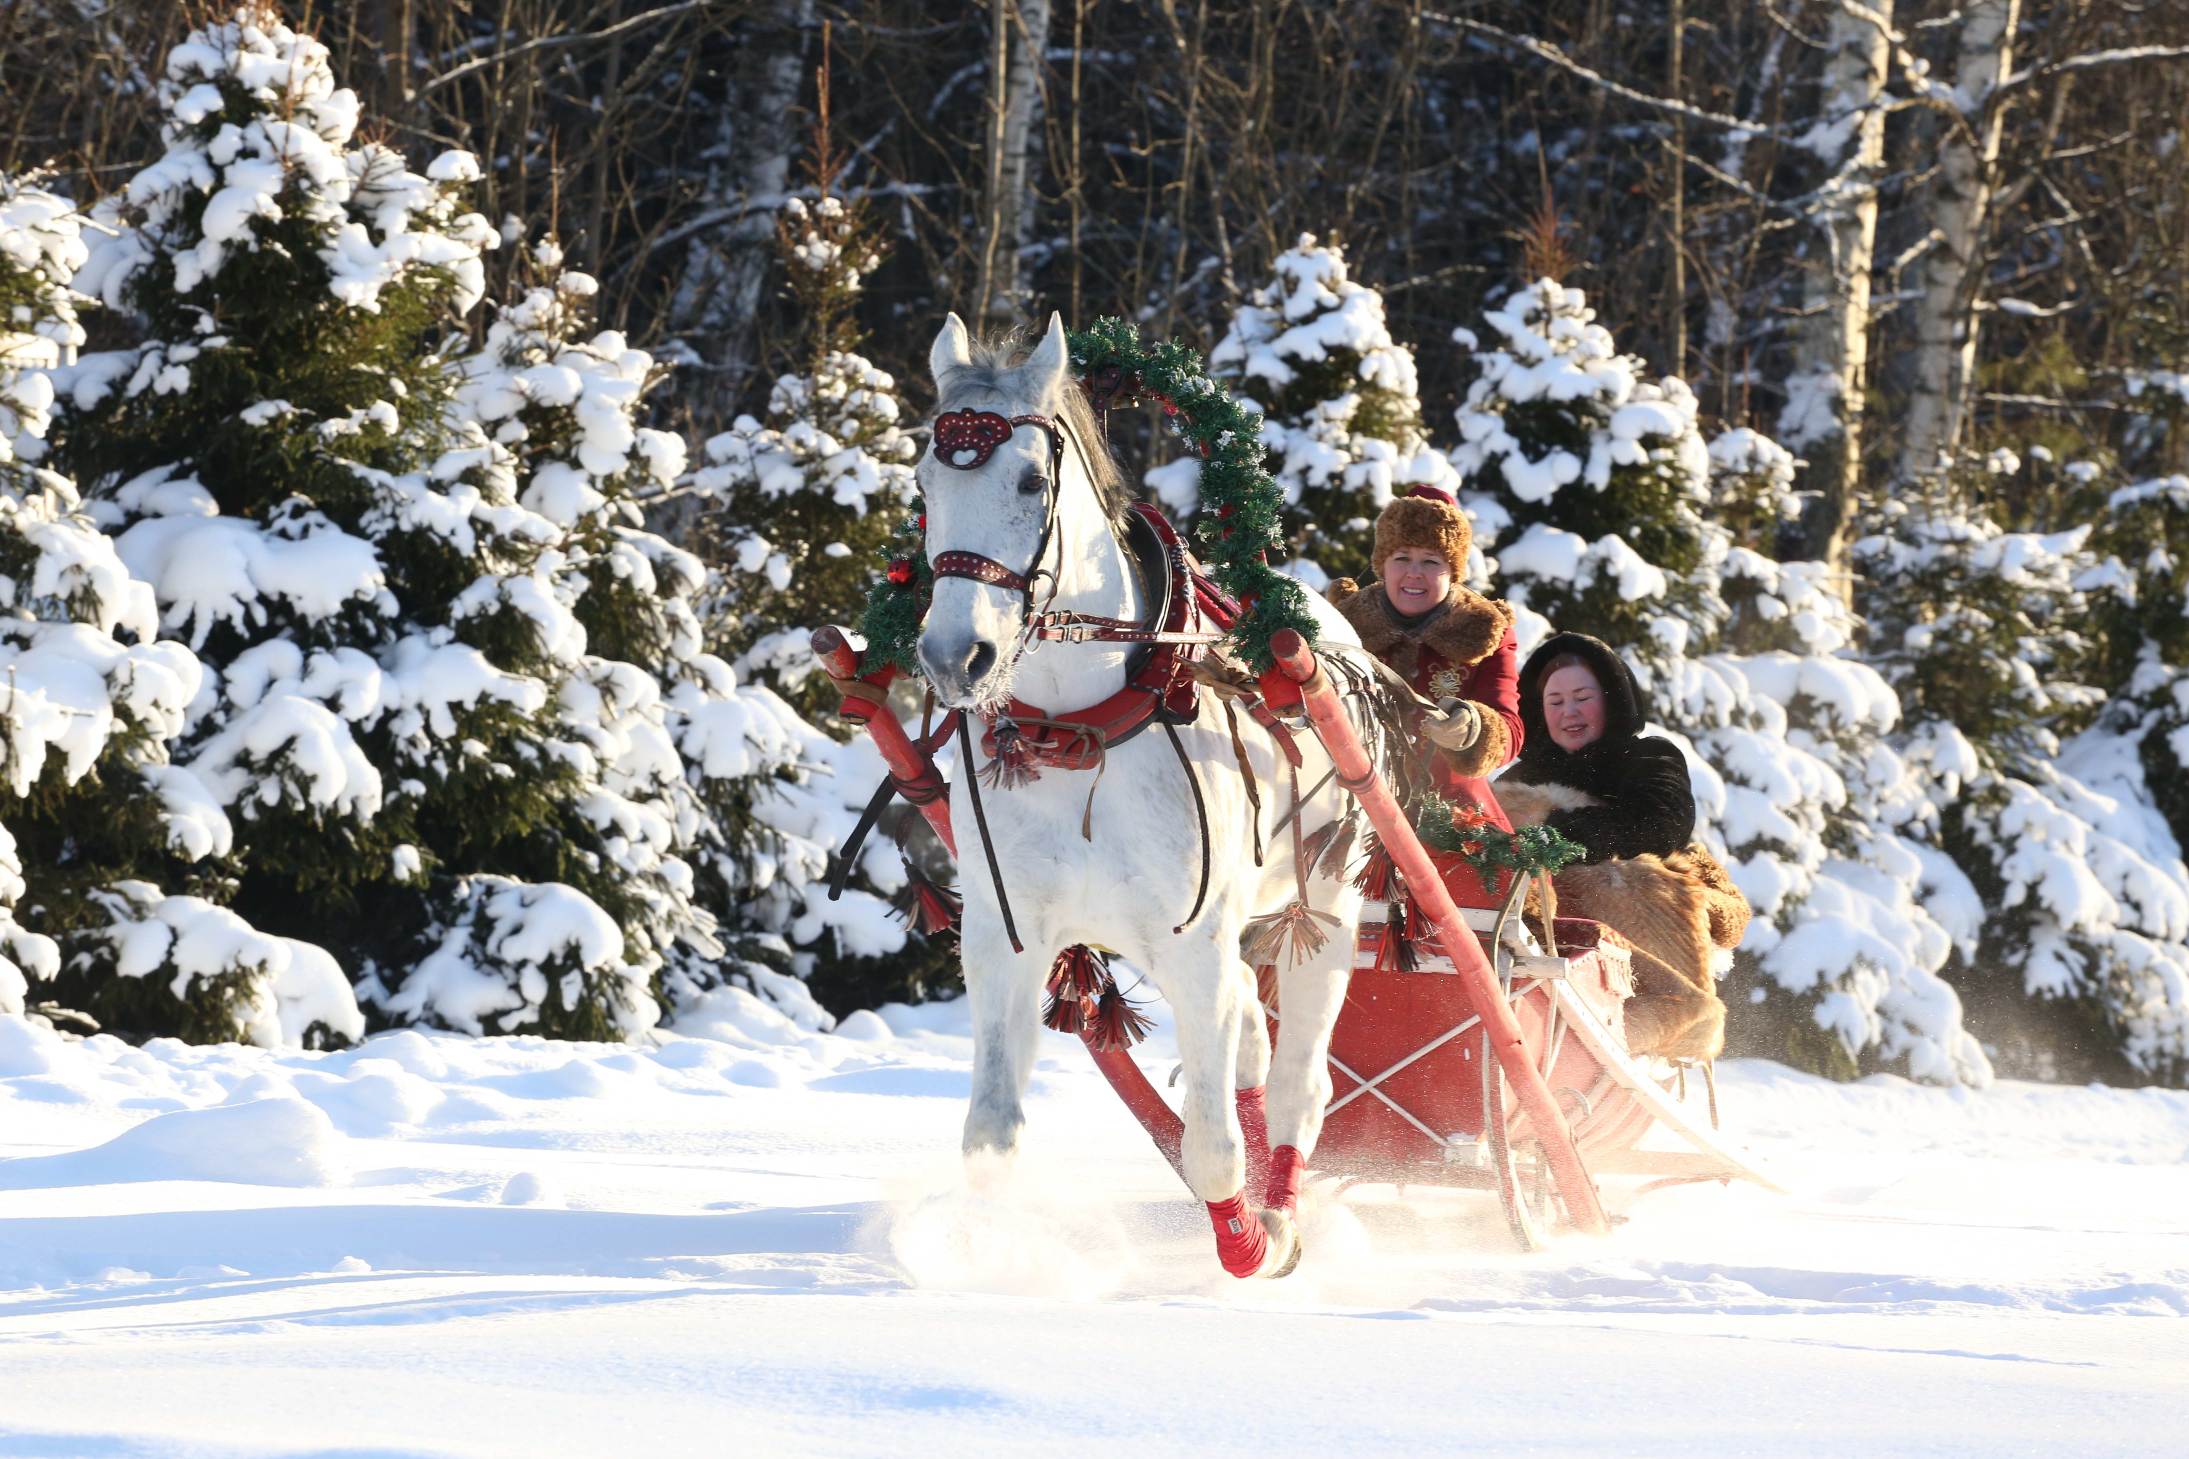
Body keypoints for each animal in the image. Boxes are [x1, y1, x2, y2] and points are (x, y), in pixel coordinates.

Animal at [910, 310, 1365, 1277]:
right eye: (925, 479)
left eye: (1029, 478)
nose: (952, 655)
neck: (1080, 739)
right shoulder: (1004, 940)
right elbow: (990, 1133)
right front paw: (986, 1259)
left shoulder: (1195, 946)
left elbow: (1210, 1146)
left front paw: (1246, 1242)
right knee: (1252, 1045)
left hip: (1326, 911)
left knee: (1298, 1081)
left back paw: (1279, 1215)